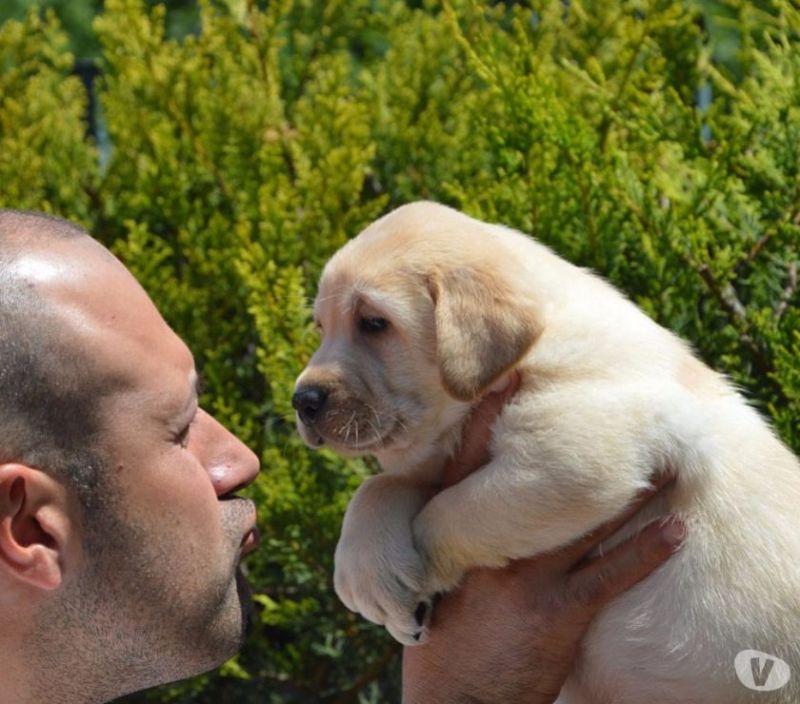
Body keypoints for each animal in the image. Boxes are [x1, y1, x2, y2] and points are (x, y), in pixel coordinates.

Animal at [292, 201, 800, 700]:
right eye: (321, 327)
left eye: (374, 323)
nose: (302, 401)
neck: (532, 348)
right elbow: (378, 488)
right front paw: (371, 575)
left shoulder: (578, 450)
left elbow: (452, 511)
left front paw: (420, 575)